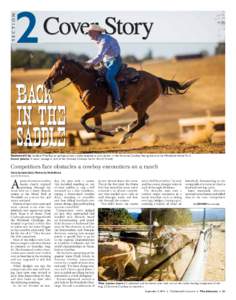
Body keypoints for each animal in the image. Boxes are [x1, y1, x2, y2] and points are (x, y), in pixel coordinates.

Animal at [43, 58, 196, 145]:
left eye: (57, 68)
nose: (46, 83)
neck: (90, 83)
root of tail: (156, 79)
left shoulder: (97, 109)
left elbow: (83, 122)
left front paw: (116, 131)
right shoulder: (96, 112)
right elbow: (97, 128)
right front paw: (115, 130)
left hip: (142, 103)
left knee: (142, 121)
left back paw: (125, 137)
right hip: (136, 104)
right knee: (144, 119)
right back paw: (127, 129)